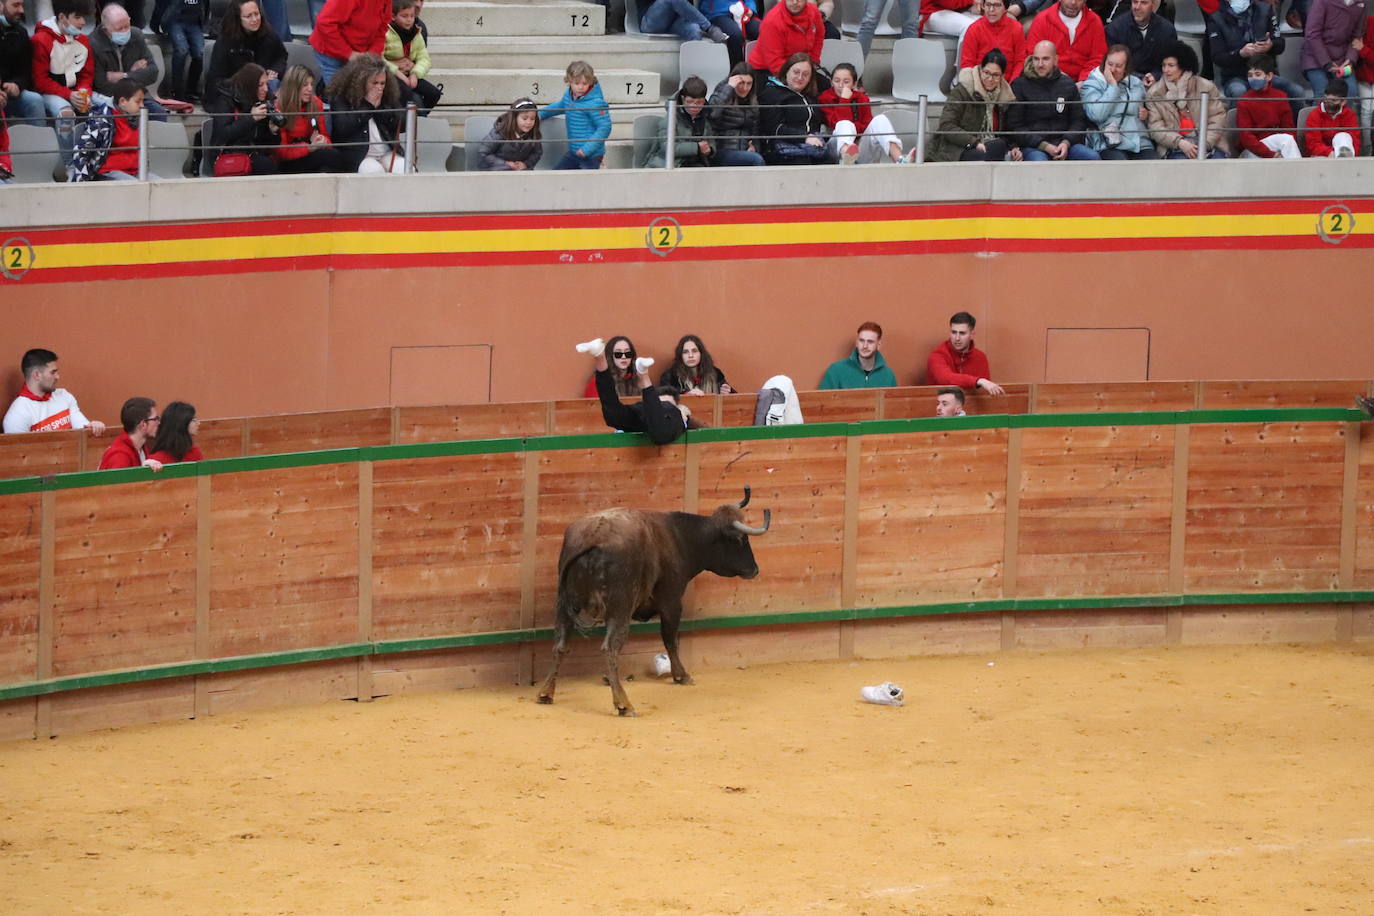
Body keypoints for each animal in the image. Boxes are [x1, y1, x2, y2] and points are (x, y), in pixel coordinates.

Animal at [535, 486, 774, 714]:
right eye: (741, 539)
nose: (754, 569)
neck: (679, 537)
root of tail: (594, 536)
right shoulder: (672, 600)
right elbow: (670, 639)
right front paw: (681, 675)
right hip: (620, 607)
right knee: (610, 647)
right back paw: (624, 704)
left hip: (564, 606)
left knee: (560, 645)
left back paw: (546, 693)